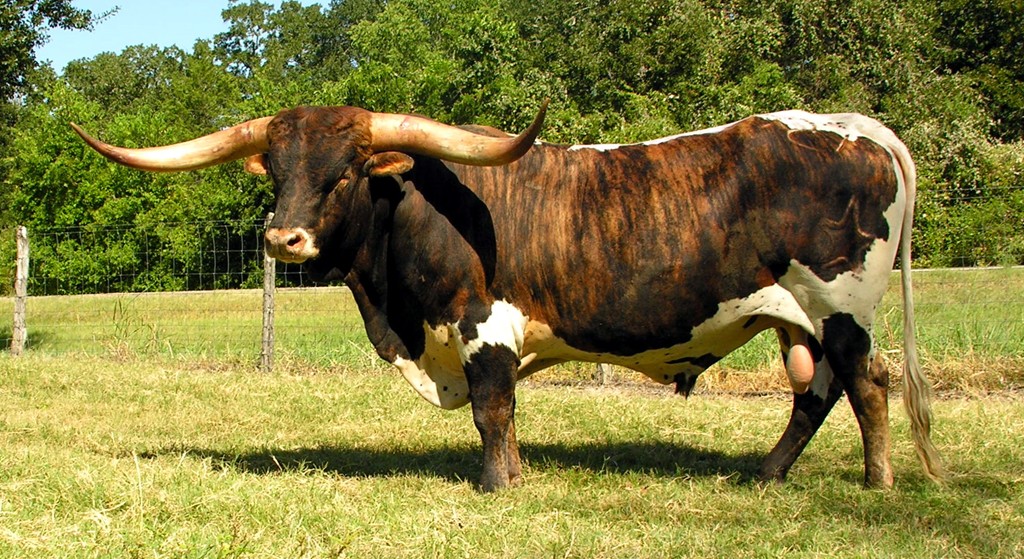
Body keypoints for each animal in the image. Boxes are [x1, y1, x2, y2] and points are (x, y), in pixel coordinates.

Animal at [71, 103, 944, 492]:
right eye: (278, 170)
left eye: (346, 171)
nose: (281, 238)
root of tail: (864, 129)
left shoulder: (485, 323)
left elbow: (494, 410)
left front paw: (500, 481)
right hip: (802, 317)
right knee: (817, 393)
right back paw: (765, 472)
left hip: (841, 307)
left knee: (866, 386)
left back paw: (877, 481)